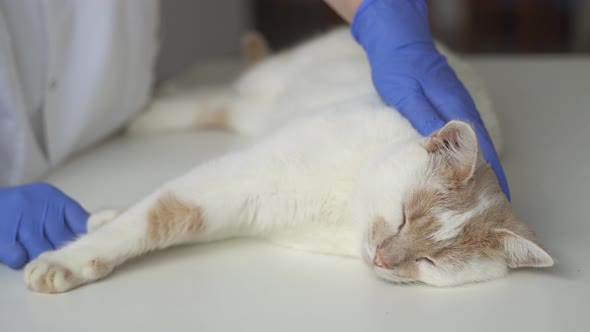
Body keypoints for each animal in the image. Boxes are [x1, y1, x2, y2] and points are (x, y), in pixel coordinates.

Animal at [24, 28, 556, 294]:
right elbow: (151, 219)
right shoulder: (230, 178)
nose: (384, 258)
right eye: (404, 216)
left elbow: (159, 217)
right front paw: (64, 261)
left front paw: (92, 233)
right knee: (222, 97)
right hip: (266, 93)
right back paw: (150, 111)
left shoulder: (239, 204)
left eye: (430, 262)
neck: (347, 206)